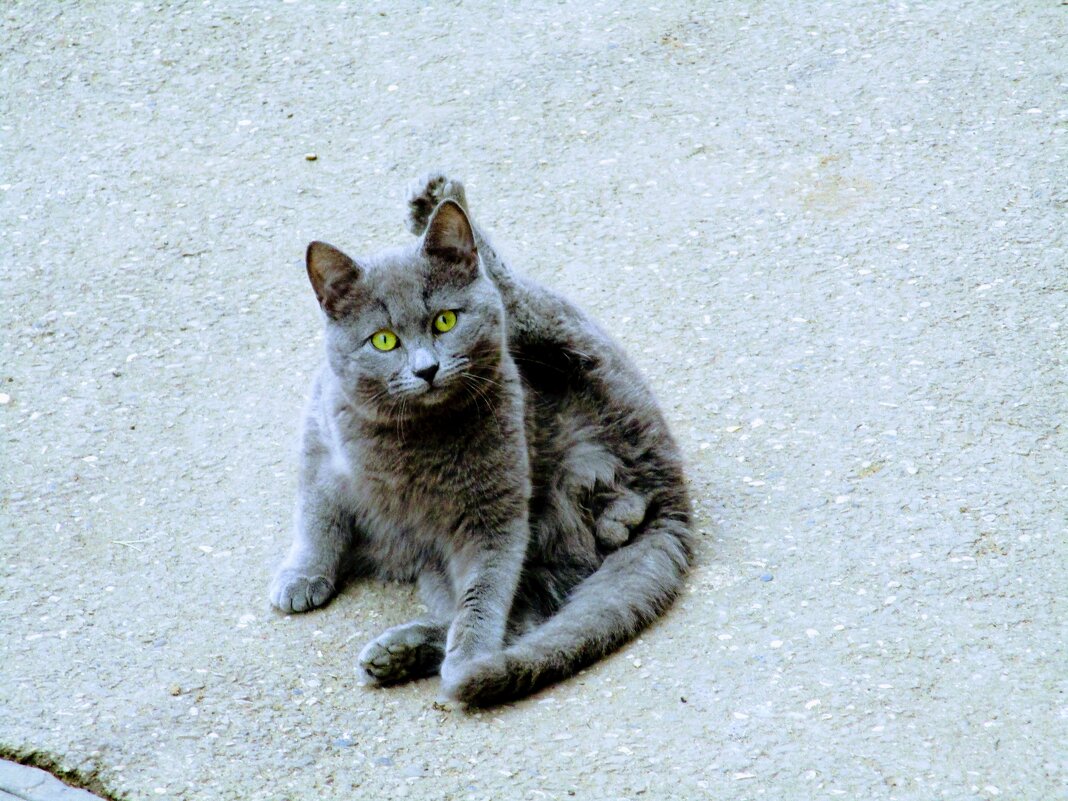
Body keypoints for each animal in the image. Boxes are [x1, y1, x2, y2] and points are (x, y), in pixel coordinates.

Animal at [269, 175, 692, 709]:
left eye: (445, 321)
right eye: (383, 340)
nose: (426, 369)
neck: (412, 437)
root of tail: (668, 488)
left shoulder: (494, 511)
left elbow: (485, 591)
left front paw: (469, 658)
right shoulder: (321, 445)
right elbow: (317, 519)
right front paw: (301, 578)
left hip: (576, 354)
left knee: (516, 298)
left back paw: (440, 202)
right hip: (483, 565)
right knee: (521, 617)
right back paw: (398, 654)